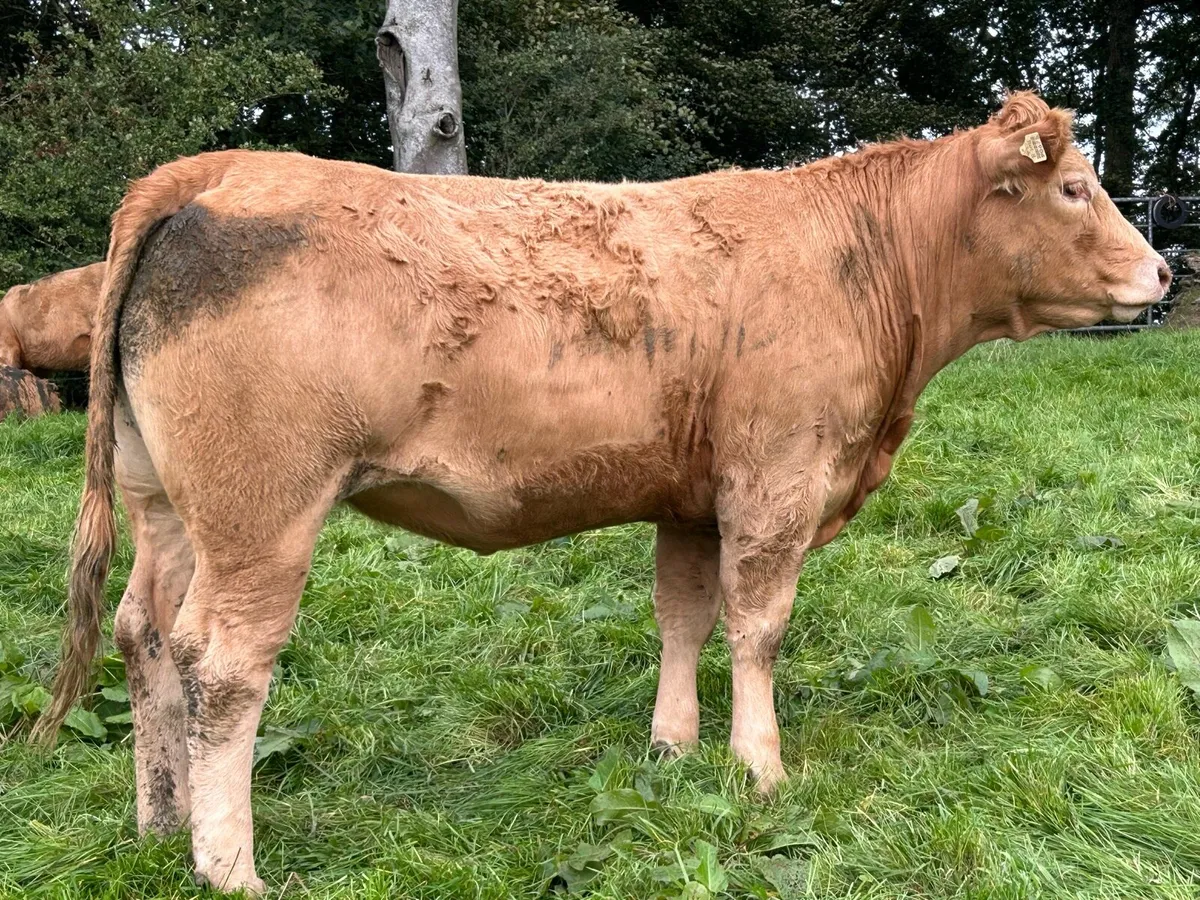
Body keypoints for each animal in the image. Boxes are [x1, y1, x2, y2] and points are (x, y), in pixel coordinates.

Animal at [34, 93, 1170, 894]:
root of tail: (213, 168)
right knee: (222, 665)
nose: (1164, 273)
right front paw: (760, 768)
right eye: (1076, 189)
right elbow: (759, 625)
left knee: (144, 633)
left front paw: (672, 747)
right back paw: (228, 865)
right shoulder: (777, 481)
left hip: (167, 504)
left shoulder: (692, 497)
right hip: (263, 514)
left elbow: (683, 615)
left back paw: (161, 823)